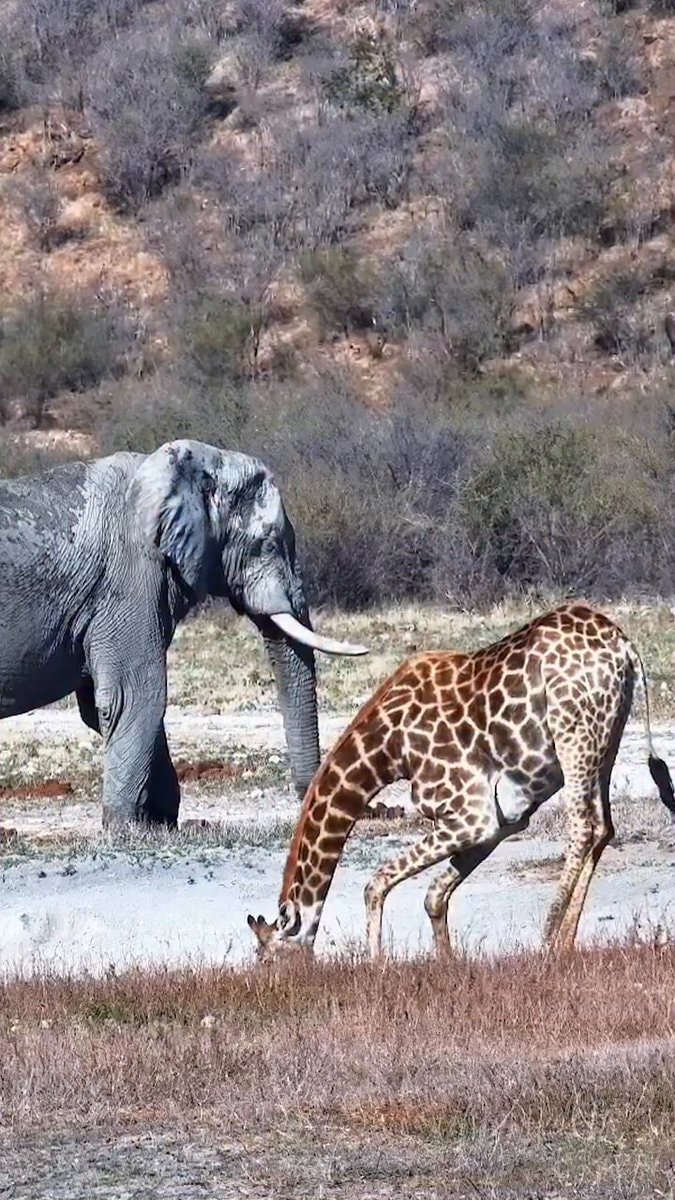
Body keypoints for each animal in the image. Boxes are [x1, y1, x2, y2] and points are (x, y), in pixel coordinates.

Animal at [0, 439, 366, 827]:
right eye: (267, 544)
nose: (308, 799)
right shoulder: (130, 579)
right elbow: (135, 695)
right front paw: (127, 828)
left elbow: (107, 705)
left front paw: (160, 823)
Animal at [247, 604, 675, 960]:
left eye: (266, 957)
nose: (275, 984)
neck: (387, 751)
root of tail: (623, 646)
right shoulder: (501, 821)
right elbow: (434, 896)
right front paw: (446, 964)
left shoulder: (471, 816)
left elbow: (376, 884)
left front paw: (377, 966)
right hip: (606, 737)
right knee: (603, 826)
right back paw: (565, 943)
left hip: (573, 732)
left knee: (583, 827)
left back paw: (547, 939)